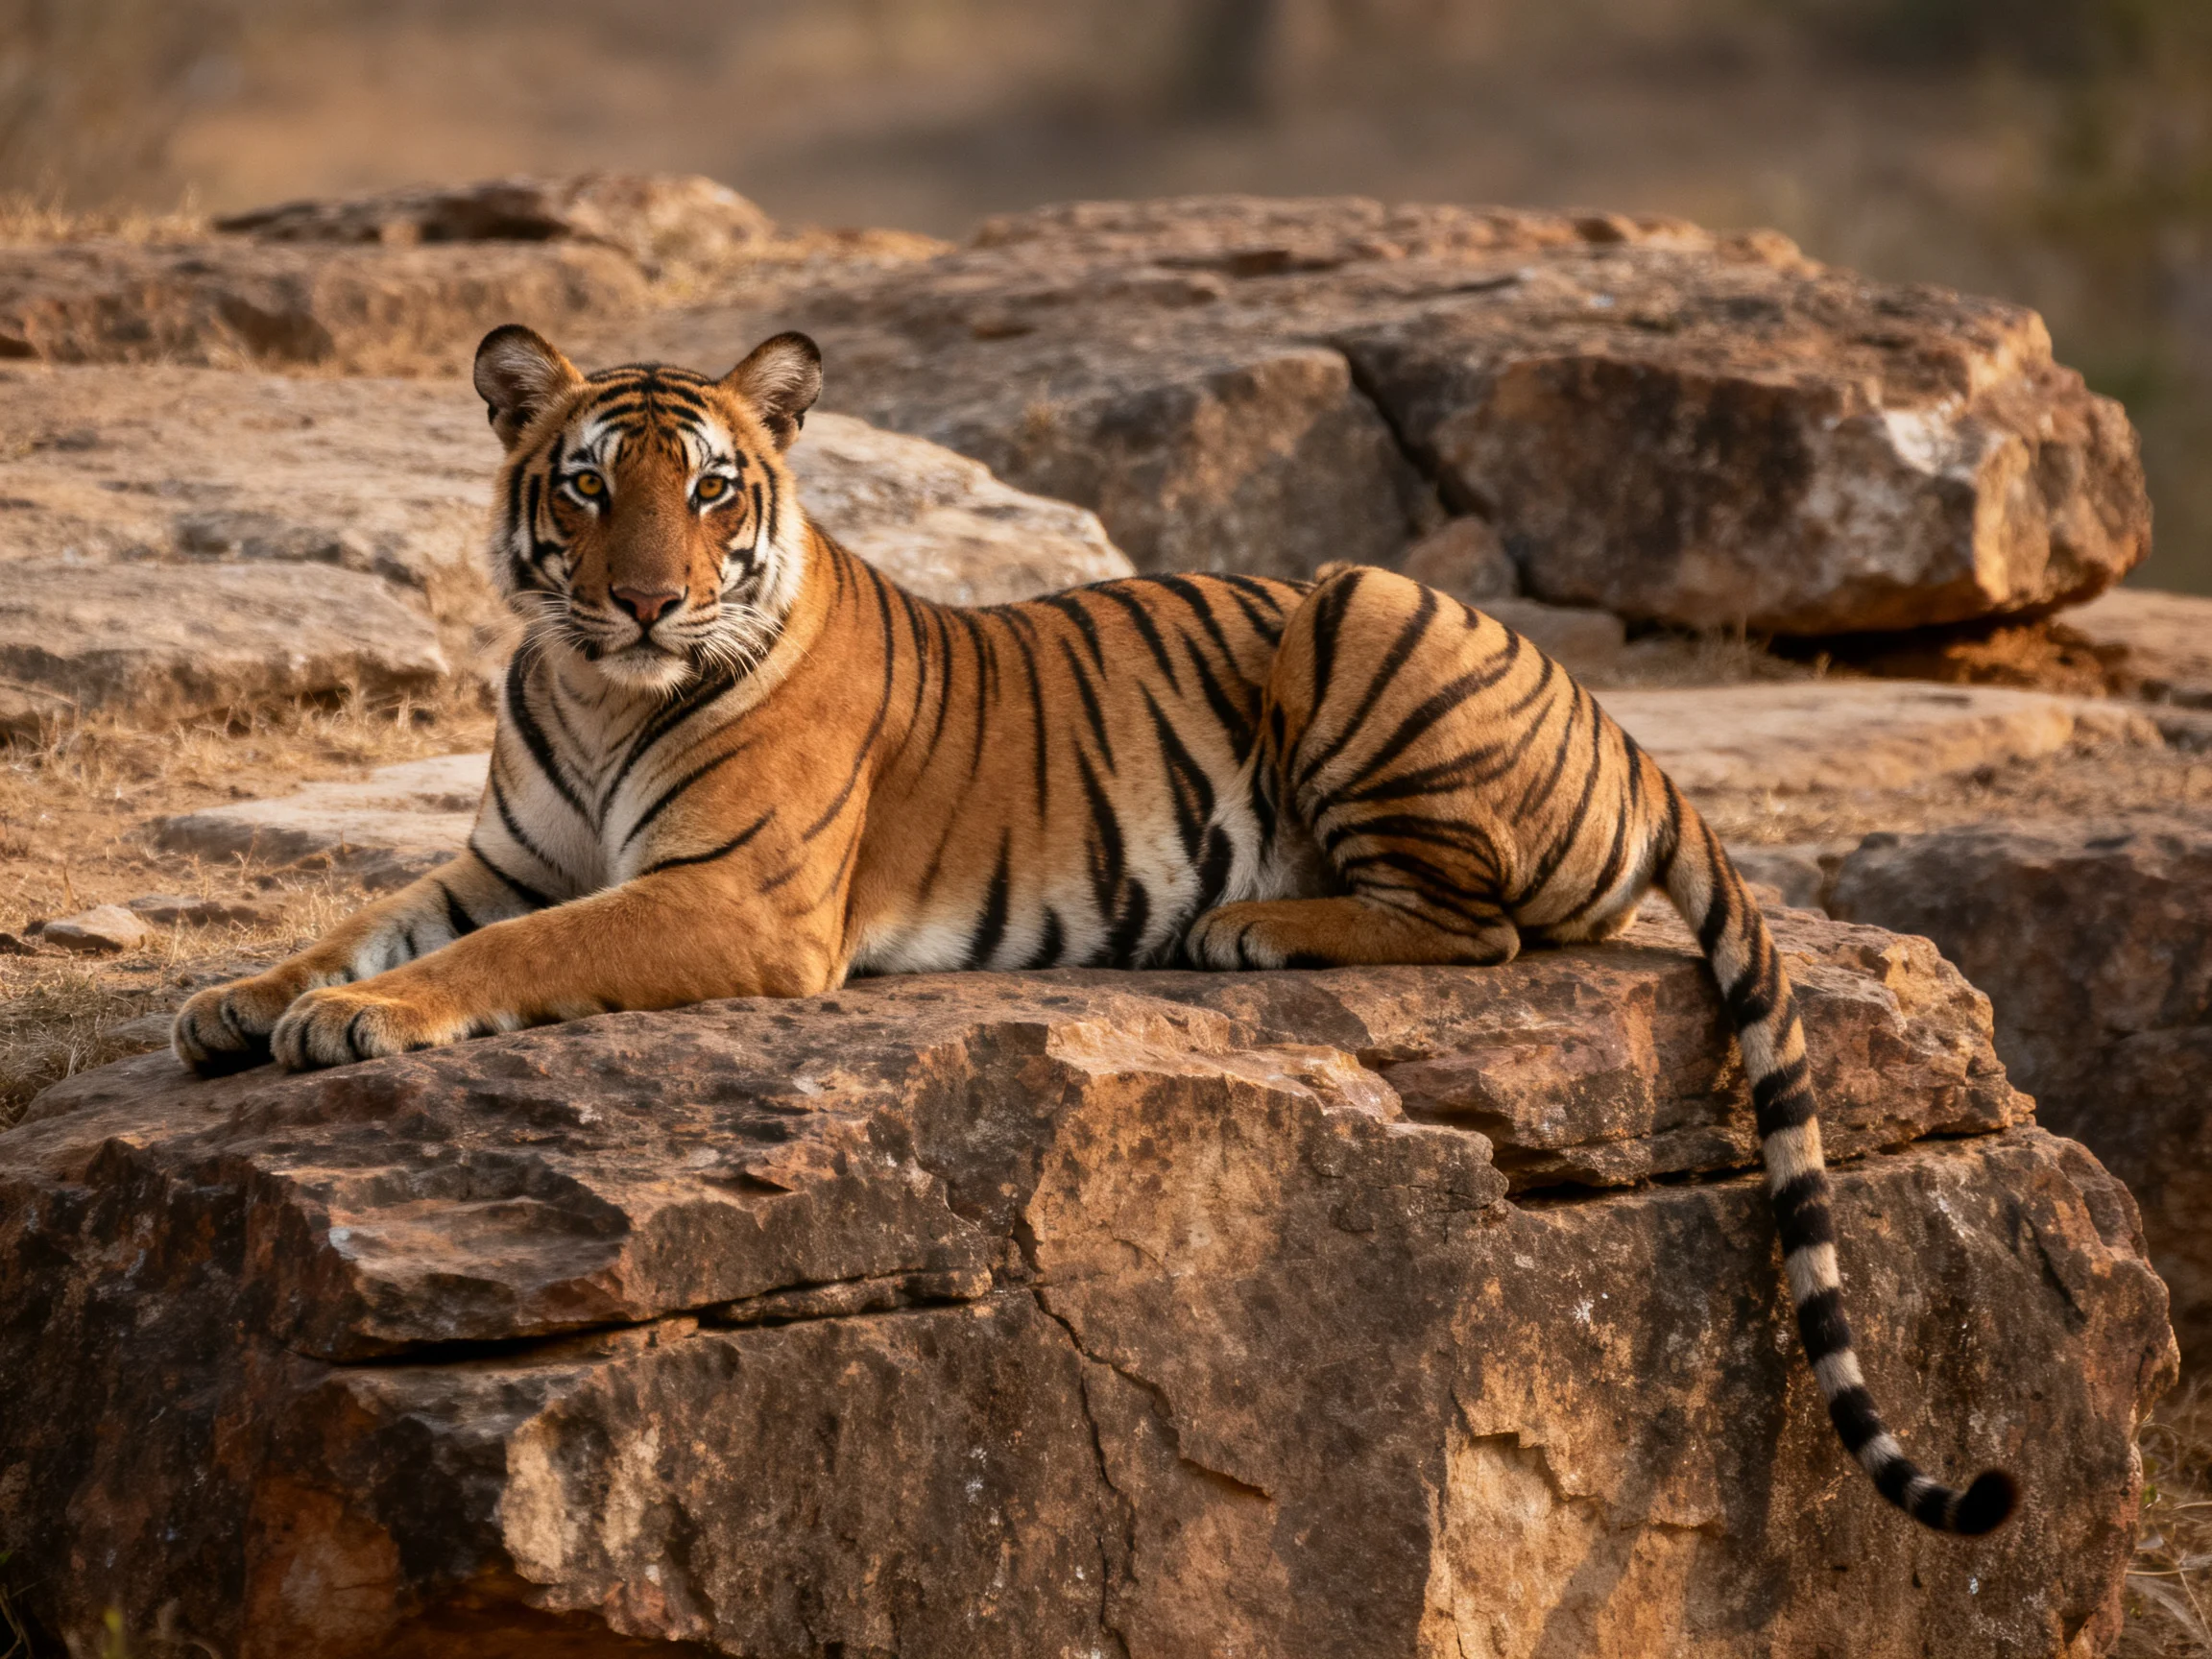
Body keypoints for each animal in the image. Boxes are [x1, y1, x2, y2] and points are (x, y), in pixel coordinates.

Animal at [171, 322, 2018, 1537]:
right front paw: (234, 1004)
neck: (589, 685)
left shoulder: (728, 895)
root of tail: (1623, 726)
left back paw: (1246, 929)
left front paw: (359, 1025)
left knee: (1480, 928)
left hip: (1360, 608)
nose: (643, 599)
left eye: (704, 491)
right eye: (580, 487)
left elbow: (496, 962)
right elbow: (363, 922)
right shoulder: (508, 857)